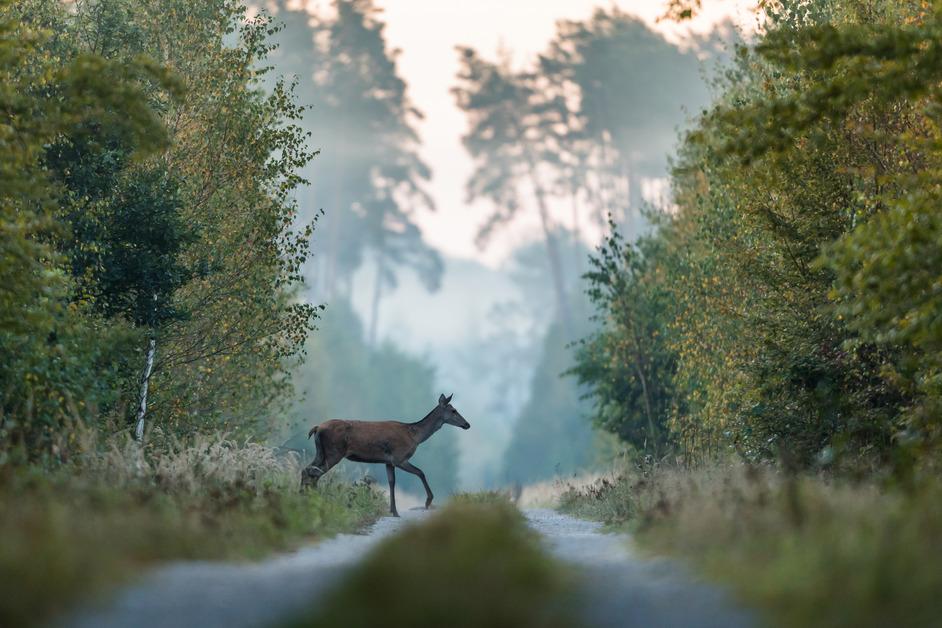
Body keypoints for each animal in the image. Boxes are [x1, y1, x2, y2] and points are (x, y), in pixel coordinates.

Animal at [302, 394, 472, 516]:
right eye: (454, 410)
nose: (467, 424)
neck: (415, 436)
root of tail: (317, 428)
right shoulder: (399, 458)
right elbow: (420, 472)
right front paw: (428, 502)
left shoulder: (388, 462)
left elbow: (392, 482)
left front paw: (394, 511)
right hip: (334, 452)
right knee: (314, 473)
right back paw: (314, 499)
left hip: (321, 452)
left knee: (307, 470)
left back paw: (305, 496)